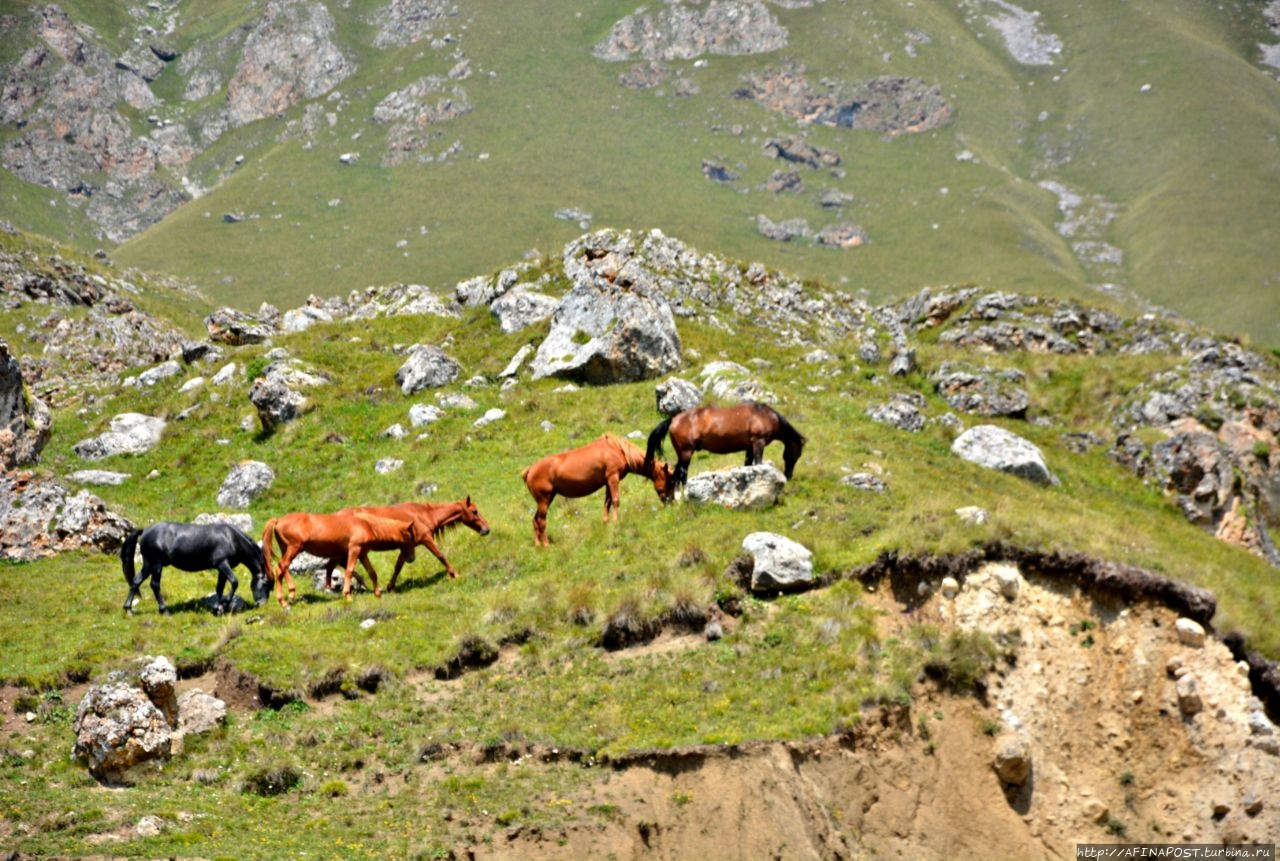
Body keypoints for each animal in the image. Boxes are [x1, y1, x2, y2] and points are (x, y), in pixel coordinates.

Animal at [122, 519, 270, 614]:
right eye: (266, 584)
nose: (261, 604)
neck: (231, 538)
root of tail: (145, 531)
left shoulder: (221, 569)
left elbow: (220, 588)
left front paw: (219, 609)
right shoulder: (222, 564)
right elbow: (234, 582)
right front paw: (222, 605)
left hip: (149, 564)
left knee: (136, 581)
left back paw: (128, 609)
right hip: (157, 564)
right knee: (155, 585)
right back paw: (164, 610)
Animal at [259, 511, 419, 603]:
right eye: (411, 537)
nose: (411, 558)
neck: (367, 525)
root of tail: (278, 520)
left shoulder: (362, 553)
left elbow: (371, 572)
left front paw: (378, 593)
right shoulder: (354, 550)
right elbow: (349, 571)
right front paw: (347, 595)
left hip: (287, 549)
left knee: (283, 569)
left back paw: (290, 595)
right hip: (294, 548)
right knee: (280, 569)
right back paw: (283, 600)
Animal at [337, 493, 491, 588]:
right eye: (474, 511)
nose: (486, 529)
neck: (424, 515)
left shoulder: (406, 547)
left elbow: (398, 566)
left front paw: (391, 586)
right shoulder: (426, 539)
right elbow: (440, 555)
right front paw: (454, 574)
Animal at [522, 432, 675, 547]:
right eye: (670, 482)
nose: (671, 502)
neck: (618, 450)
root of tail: (529, 470)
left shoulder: (607, 482)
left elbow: (607, 503)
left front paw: (606, 523)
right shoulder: (613, 477)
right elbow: (615, 501)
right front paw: (616, 521)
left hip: (545, 501)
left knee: (535, 520)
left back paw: (537, 544)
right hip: (544, 501)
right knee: (541, 521)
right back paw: (546, 545)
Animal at [645, 401, 803, 493]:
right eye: (796, 454)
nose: (788, 475)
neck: (763, 415)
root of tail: (673, 419)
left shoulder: (750, 447)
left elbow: (748, 465)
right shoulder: (758, 443)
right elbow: (758, 463)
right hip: (686, 453)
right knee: (681, 474)